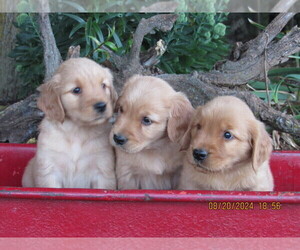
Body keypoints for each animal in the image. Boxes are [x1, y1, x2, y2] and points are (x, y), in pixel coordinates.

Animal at [22, 57, 117, 188]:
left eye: (103, 85)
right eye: (76, 90)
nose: (102, 105)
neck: (77, 131)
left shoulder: (103, 171)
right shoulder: (50, 171)